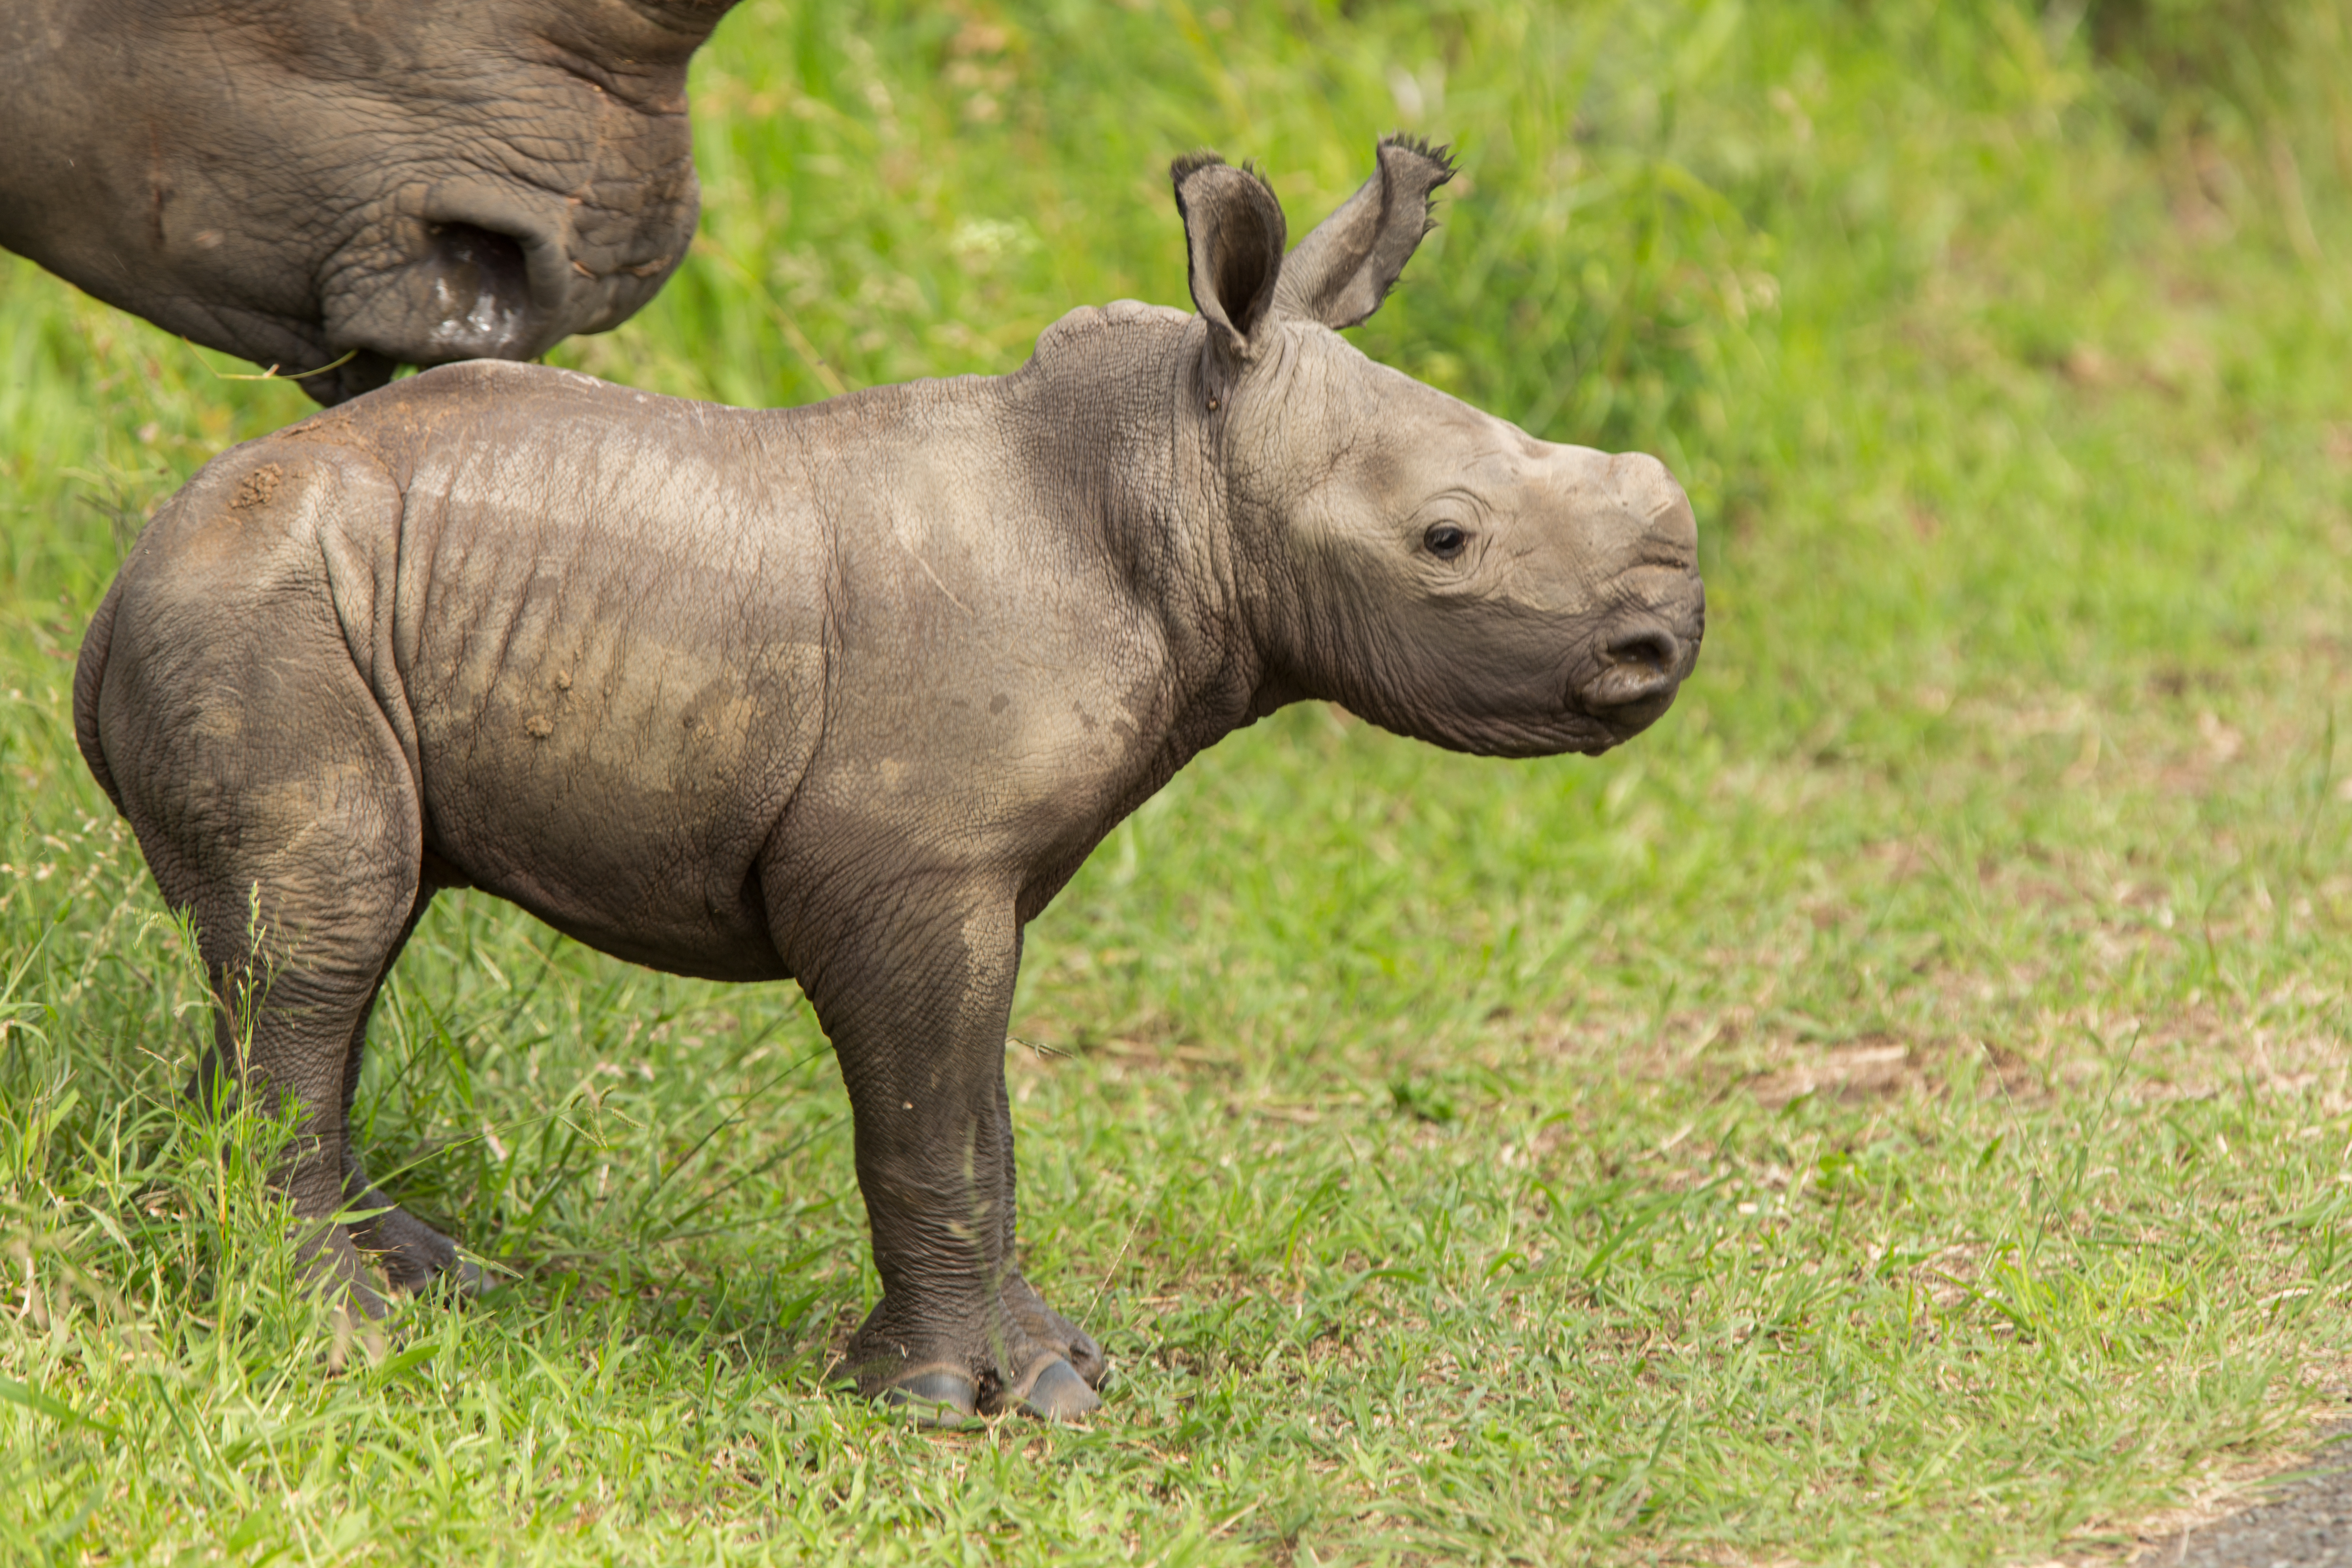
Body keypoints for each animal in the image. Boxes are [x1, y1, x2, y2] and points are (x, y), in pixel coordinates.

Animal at [74, 138, 1704, 1422]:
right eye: (1448, 540)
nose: (1666, 645)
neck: (1176, 469)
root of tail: (119, 582)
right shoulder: (900, 869)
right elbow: (930, 1123)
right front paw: (941, 1398)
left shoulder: (975, 874)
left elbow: (985, 1115)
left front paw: (1056, 1371)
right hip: (263, 611)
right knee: (323, 935)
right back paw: (335, 1326)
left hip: (294, 605)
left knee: (327, 940)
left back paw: (406, 1274)